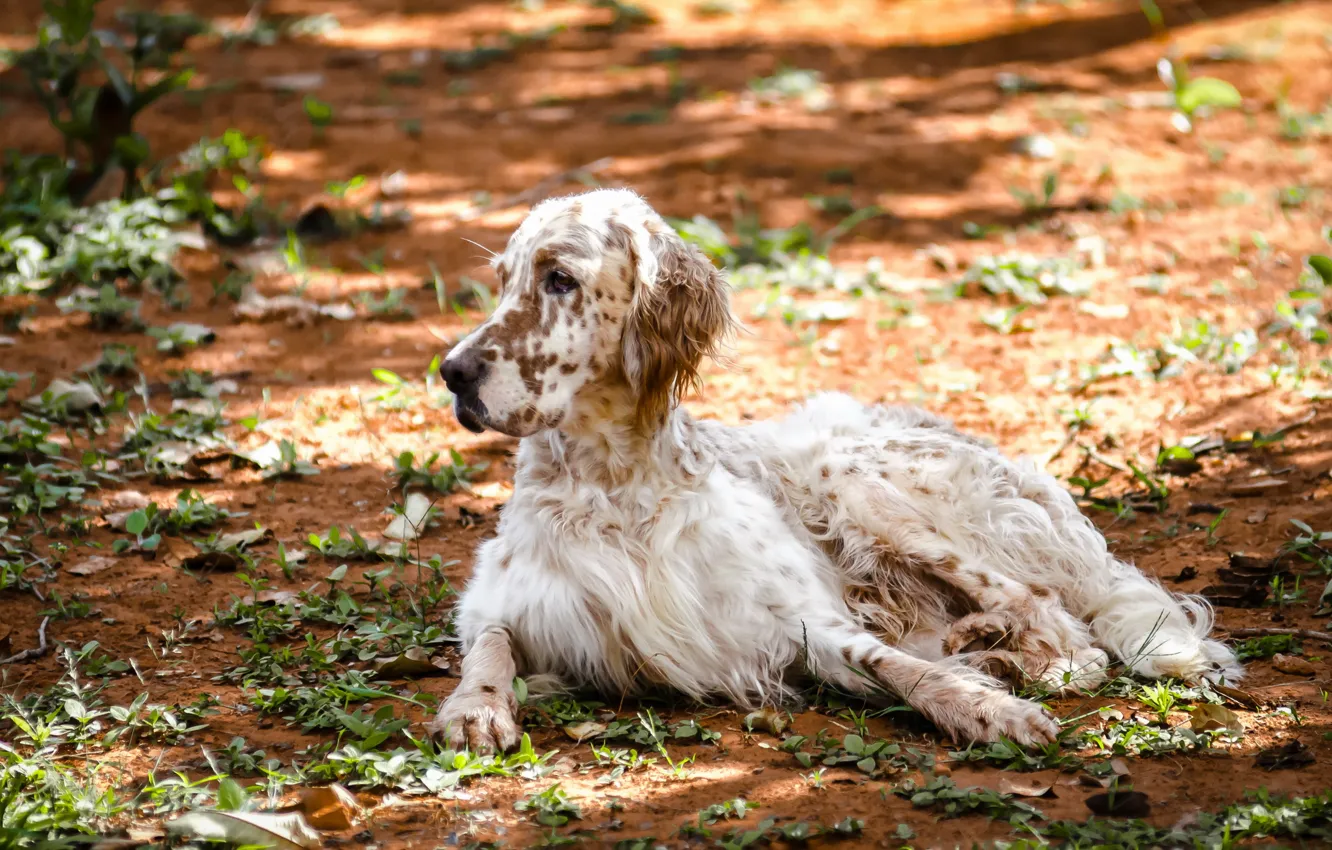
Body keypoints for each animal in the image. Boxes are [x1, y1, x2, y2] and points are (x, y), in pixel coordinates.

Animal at [426, 187, 1236, 751]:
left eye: (559, 278)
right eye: (503, 280)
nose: (452, 373)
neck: (616, 485)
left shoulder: (799, 618)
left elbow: (902, 668)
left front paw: (985, 708)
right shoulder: (502, 597)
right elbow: (490, 649)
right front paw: (474, 709)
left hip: (846, 472)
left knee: (1060, 624)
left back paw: (1001, 652)